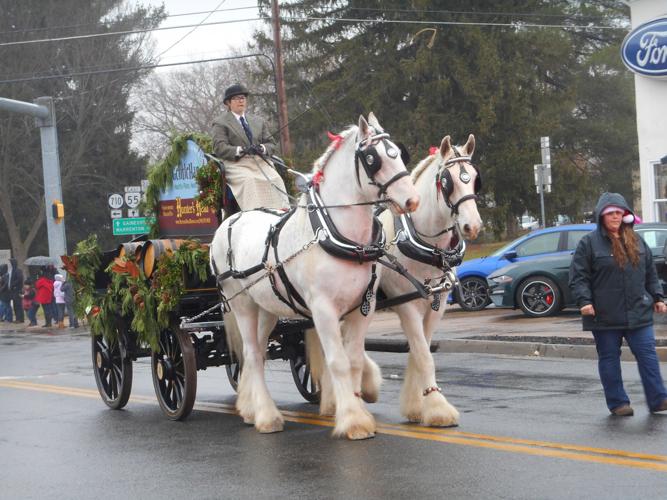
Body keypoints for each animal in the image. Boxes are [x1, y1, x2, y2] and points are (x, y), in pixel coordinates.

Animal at [210, 113, 418, 438]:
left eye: (398, 153)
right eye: (373, 159)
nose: (411, 200)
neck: (338, 235)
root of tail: (229, 220)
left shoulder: (364, 306)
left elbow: (354, 361)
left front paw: (358, 408)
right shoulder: (323, 309)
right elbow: (338, 362)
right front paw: (352, 421)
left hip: (267, 309)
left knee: (256, 352)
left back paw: (251, 409)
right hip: (242, 305)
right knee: (252, 355)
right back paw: (266, 416)